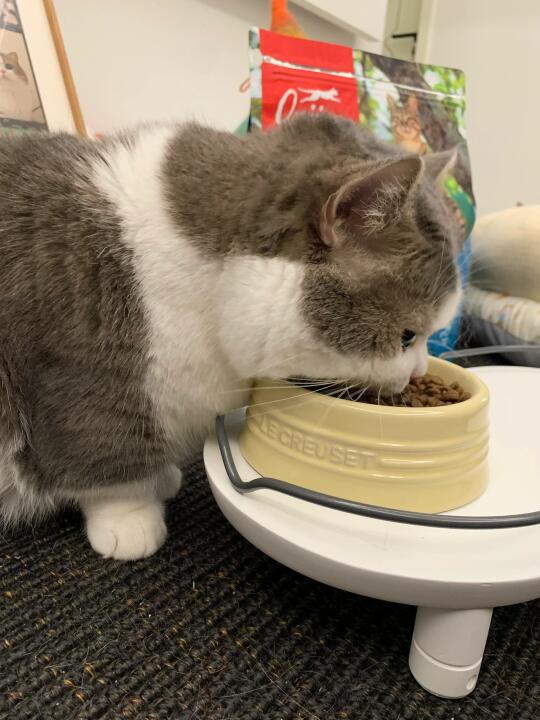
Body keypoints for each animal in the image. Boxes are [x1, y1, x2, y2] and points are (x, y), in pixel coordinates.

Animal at [0, 113, 461, 560]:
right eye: (407, 336)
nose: (418, 373)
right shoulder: (91, 372)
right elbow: (109, 459)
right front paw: (130, 520)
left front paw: (162, 478)